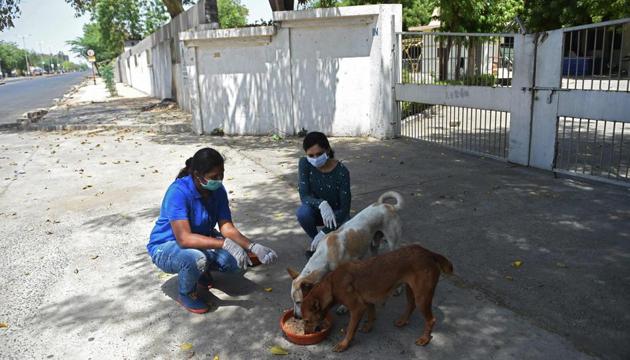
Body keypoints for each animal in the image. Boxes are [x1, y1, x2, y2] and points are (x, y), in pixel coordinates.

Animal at [302, 245, 454, 352]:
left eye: (307, 320)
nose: (305, 333)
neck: (332, 284)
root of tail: (429, 253)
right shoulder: (367, 302)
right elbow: (371, 316)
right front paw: (368, 327)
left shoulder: (357, 308)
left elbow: (350, 329)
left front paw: (343, 345)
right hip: (411, 290)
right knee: (411, 305)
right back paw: (403, 321)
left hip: (422, 296)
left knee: (431, 319)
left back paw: (424, 339)